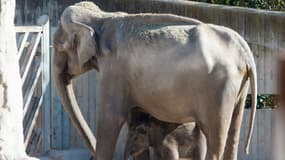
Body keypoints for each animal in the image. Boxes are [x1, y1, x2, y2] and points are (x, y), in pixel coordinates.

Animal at [52, 1, 256, 160]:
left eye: (57, 46)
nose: (90, 153)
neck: (102, 17)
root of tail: (244, 50)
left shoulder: (114, 71)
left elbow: (111, 118)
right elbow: (133, 117)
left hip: (218, 89)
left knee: (216, 138)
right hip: (237, 86)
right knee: (233, 134)